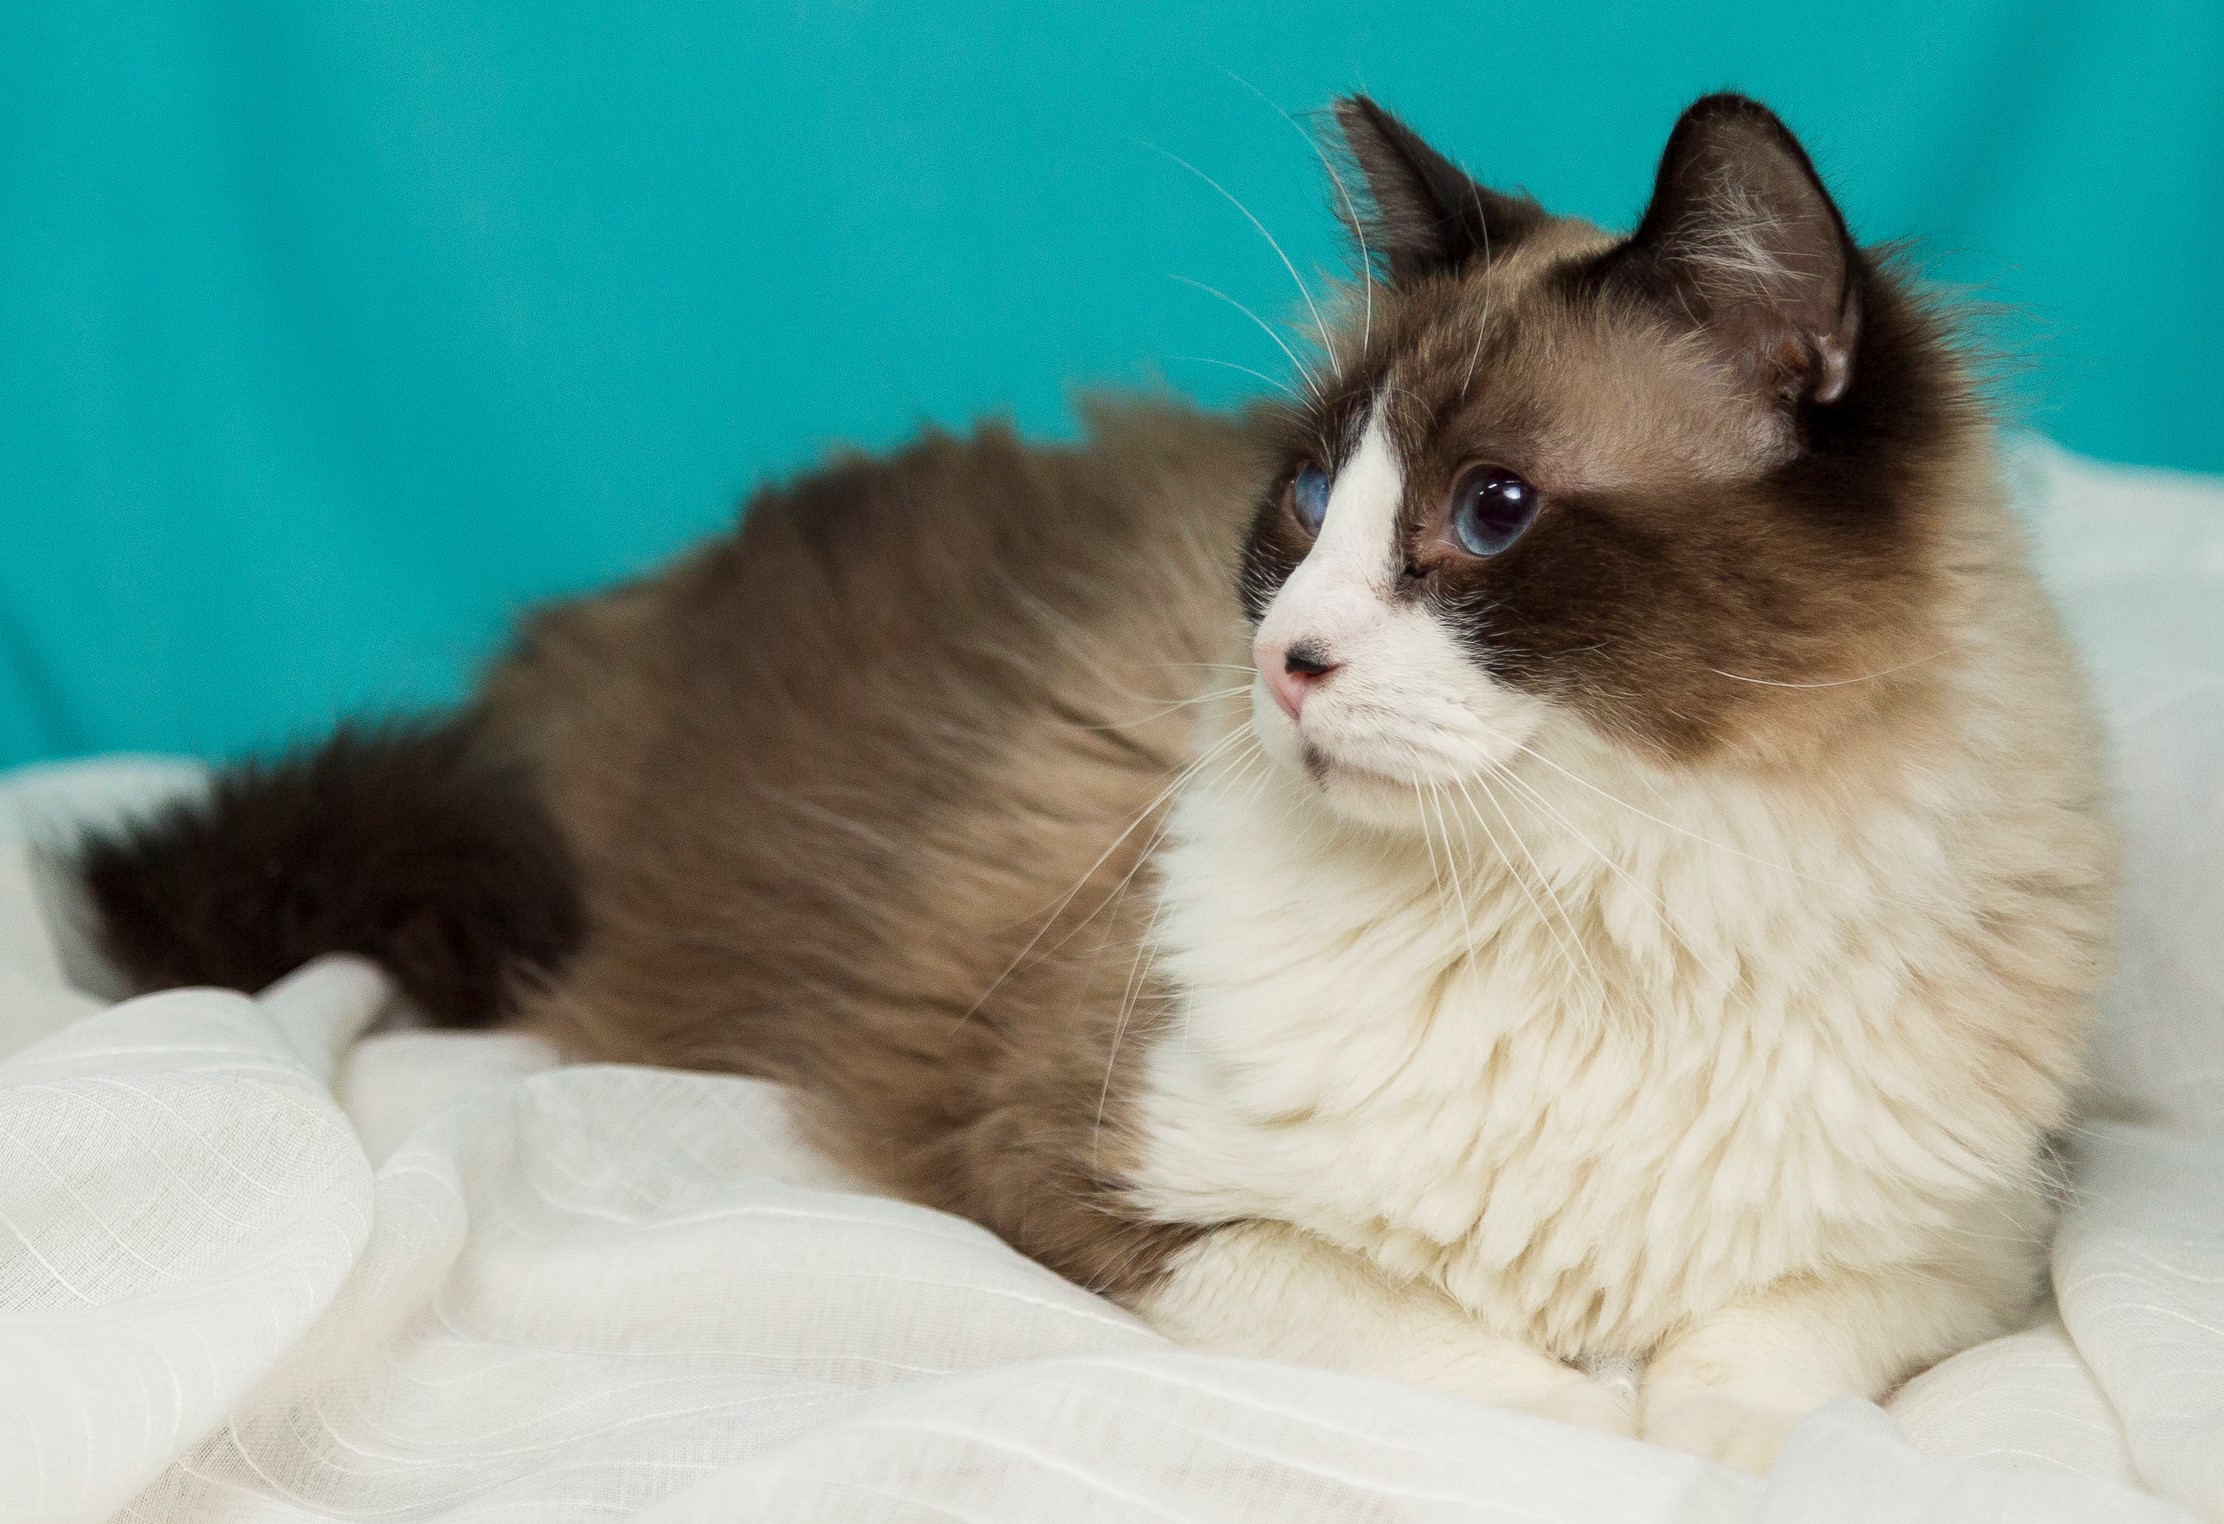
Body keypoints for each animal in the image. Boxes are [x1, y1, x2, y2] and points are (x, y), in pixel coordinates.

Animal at [78, 88, 2108, 1468]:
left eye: (1489, 513)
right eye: (1306, 506)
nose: (1288, 659)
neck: (1596, 893)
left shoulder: (1977, 1236)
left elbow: (1751, 1376)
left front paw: (1706, 1439)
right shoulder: (1103, 1178)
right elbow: (1500, 1381)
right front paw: (1601, 1434)